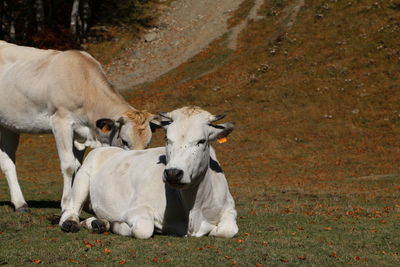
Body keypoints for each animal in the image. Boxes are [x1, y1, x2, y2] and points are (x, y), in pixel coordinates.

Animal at [0, 41, 155, 214]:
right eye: (125, 141)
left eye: (147, 144)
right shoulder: (61, 121)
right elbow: (68, 165)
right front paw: (67, 204)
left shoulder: (80, 132)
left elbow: (78, 166)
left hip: (8, 125)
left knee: (7, 162)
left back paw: (20, 203)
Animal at [59, 106, 238, 239]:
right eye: (167, 138)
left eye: (201, 141)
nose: (173, 173)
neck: (193, 209)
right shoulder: (138, 208)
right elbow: (143, 230)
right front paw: (117, 225)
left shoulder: (229, 207)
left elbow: (227, 230)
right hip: (82, 179)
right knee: (70, 210)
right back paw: (75, 223)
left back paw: (99, 223)